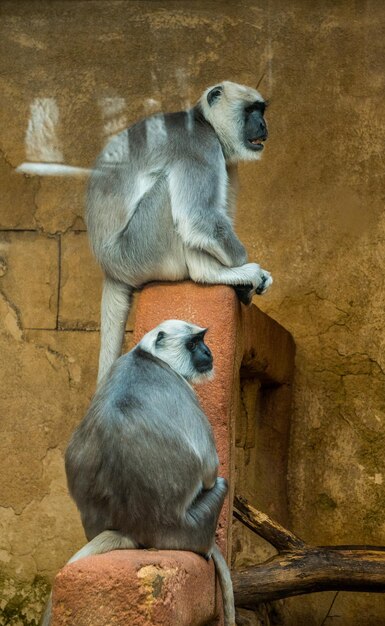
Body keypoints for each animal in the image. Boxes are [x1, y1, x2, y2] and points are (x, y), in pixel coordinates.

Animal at [40, 322, 234, 624]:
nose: (207, 352)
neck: (147, 356)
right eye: (193, 344)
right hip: (191, 528)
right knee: (221, 485)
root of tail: (132, 528)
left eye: (202, 340)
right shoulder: (180, 387)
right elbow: (210, 469)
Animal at [87, 78, 272, 380]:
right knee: (176, 202)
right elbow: (197, 219)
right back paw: (210, 273)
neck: (201, 120)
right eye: (250, 111)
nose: (263, 125)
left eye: (261, 110)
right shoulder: (197, 144)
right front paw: (242, 271)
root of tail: (108, 265)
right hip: (140, 249)